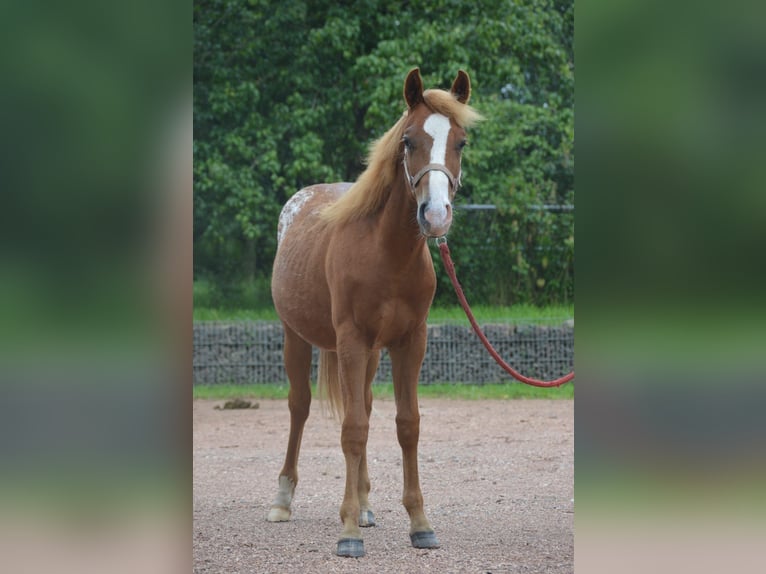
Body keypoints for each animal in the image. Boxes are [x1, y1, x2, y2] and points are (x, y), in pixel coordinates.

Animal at [264, 67, 480, 560]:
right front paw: (348, 533)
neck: (386, 253)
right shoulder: (351, 340)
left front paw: (419, 524)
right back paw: (283, 500)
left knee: (360, 402)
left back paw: (364, 505)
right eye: (408, 140)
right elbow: (353, 429)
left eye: (460, 142)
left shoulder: (409, 342)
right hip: (296, 336)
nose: (435, 216)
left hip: (370, 354)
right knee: (300, 406)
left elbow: (406, 424)